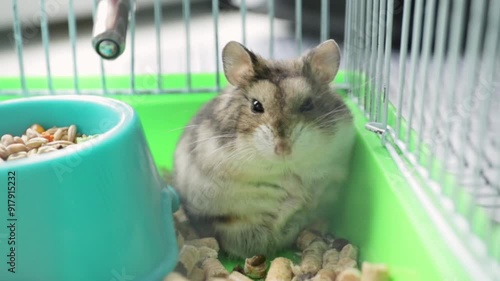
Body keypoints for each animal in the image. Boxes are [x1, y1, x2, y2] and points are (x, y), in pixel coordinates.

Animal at [172, 39, 356, 258]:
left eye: (308, 104)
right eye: (256, 105)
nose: (283, 149)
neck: (286, 166)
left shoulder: (334, 165)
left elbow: (318, 182)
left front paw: (306, 199)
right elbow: (275, 188)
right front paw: (294, 197)